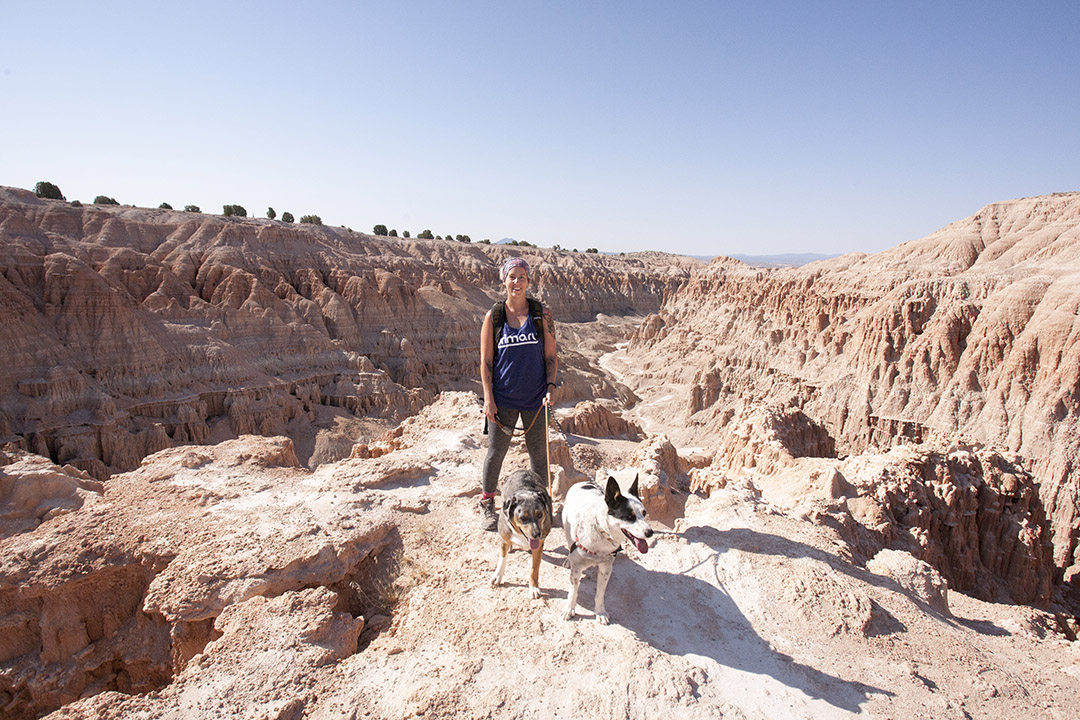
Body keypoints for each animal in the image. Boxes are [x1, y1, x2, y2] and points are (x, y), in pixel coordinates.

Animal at [492, 470, 552, 600]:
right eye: (523, 518)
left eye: (540, 514)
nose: (537, 534)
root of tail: (523, 470)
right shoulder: (504, 538)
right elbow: (502, 559)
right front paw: (497, 576)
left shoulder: (539, 546)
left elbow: (534, 569)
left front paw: (534, 588)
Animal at [565, 472, 648, 626]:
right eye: (629, 517)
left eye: (644, 513)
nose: (650, 532)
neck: (601, 532)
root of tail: (586, 482)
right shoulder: (577, 569)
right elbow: (573, 591)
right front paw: (569, 609)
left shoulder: (605, 569)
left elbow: (600, 594)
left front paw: (600, 612)